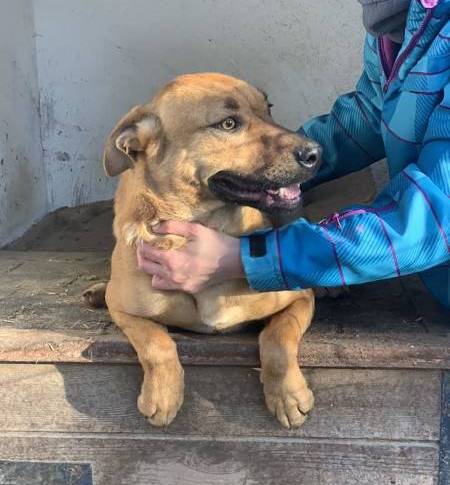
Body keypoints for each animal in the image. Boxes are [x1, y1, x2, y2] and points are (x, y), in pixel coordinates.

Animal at [84, 73, 321, 429]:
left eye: (268, 108)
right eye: (228, 123)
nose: (316, 152)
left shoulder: (299, 297)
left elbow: (278, 337)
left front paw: (287, 395)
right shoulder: (125, 310)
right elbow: (156, 342)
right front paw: (162, 394)